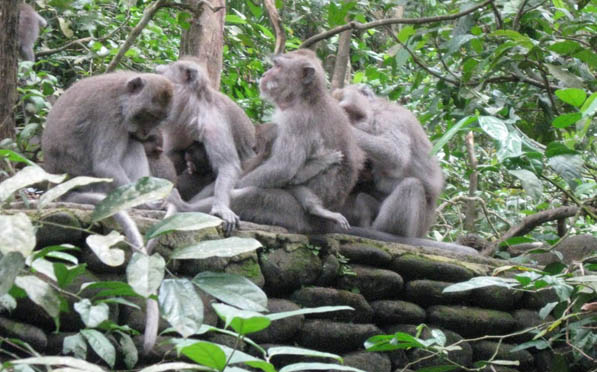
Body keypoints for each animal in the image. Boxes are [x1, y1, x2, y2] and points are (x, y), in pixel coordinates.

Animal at [155, 56, 255, 231]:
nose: (158, 69)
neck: (194, 107)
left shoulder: (214, 122)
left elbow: (227, 165)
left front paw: (221, 207)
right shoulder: (178, 122)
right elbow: (170, 154)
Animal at [185, 48, 364, 231]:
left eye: (278, 66)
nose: (264, 74)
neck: (306, 97)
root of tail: (325, 227)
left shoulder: (297, 120)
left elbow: (283, 168)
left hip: (291, 213)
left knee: (252, 195)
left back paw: (187, 207)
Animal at [332, 83, 444, 237]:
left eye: (347, 112)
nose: (347, 121)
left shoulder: (388, 119)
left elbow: (395, 154)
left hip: (418, 224)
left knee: (411, 186)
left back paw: (384, 230)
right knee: (363, 198)